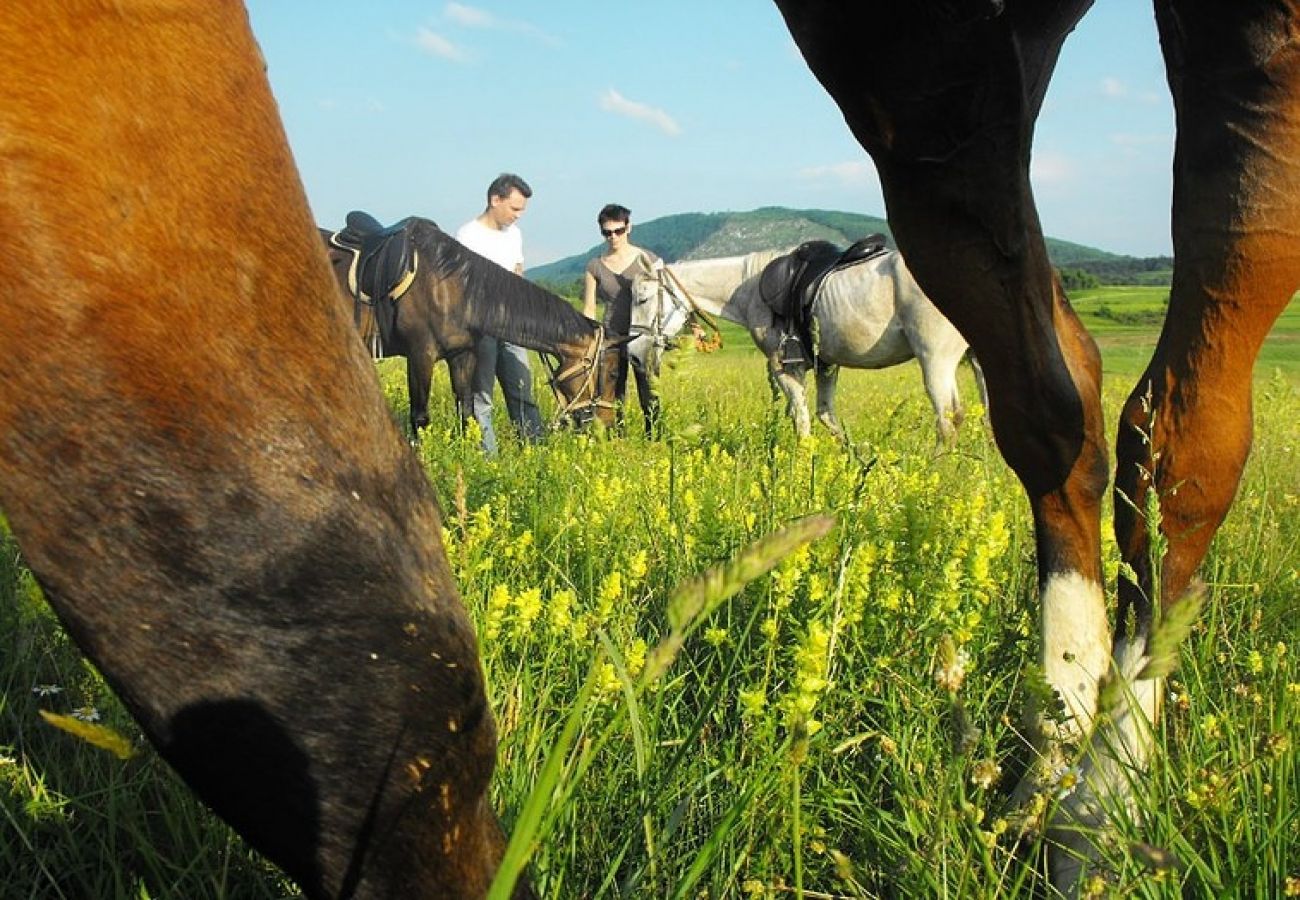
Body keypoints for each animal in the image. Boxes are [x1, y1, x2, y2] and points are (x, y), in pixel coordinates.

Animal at [322, 219, 621, 442]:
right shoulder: (420, 355)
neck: (451, 287)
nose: (608, 428)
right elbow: (420, 417)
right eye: (613, 374)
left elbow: (465, 412)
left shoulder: (462, 354)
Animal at [631, 249, 982, 442]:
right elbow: (826, 415)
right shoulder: (826, 366)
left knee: (947, 422)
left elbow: (801, 420)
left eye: (642, 298)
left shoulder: (787, 368)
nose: (634, 353)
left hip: (935, 361)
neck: (750, 290)